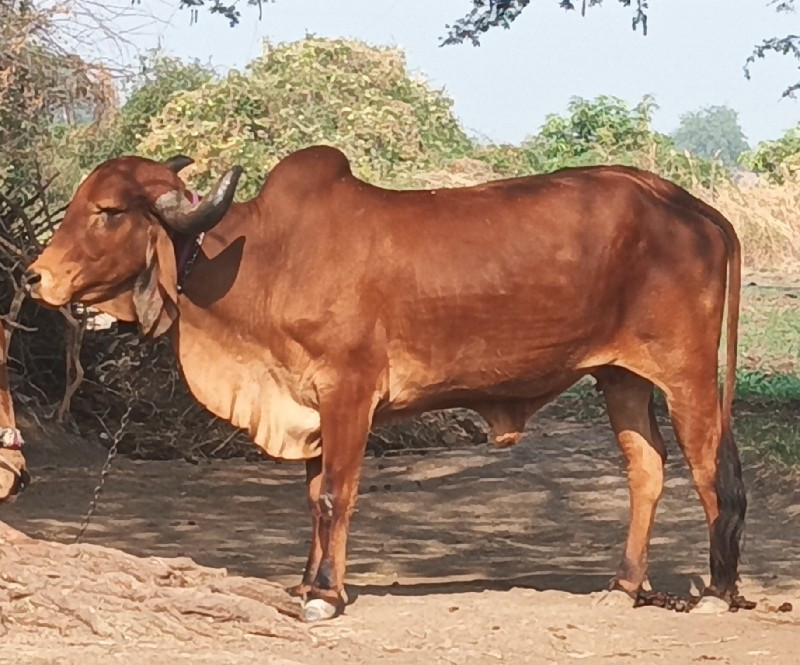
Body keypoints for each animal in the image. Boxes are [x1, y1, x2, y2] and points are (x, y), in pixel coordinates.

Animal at [26, 147, 752, 624]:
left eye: (109, 211)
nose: (35, 276)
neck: (264, 260)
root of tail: (695, 208)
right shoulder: (308, 403)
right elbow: (313, 496)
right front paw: (304, 584)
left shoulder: (349, 391)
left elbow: (334, 496)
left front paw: (325, 595)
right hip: (620, 377)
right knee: (647, 469)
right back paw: (625, 585)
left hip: (686, 373)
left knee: (711, 471)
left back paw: (717, 593)